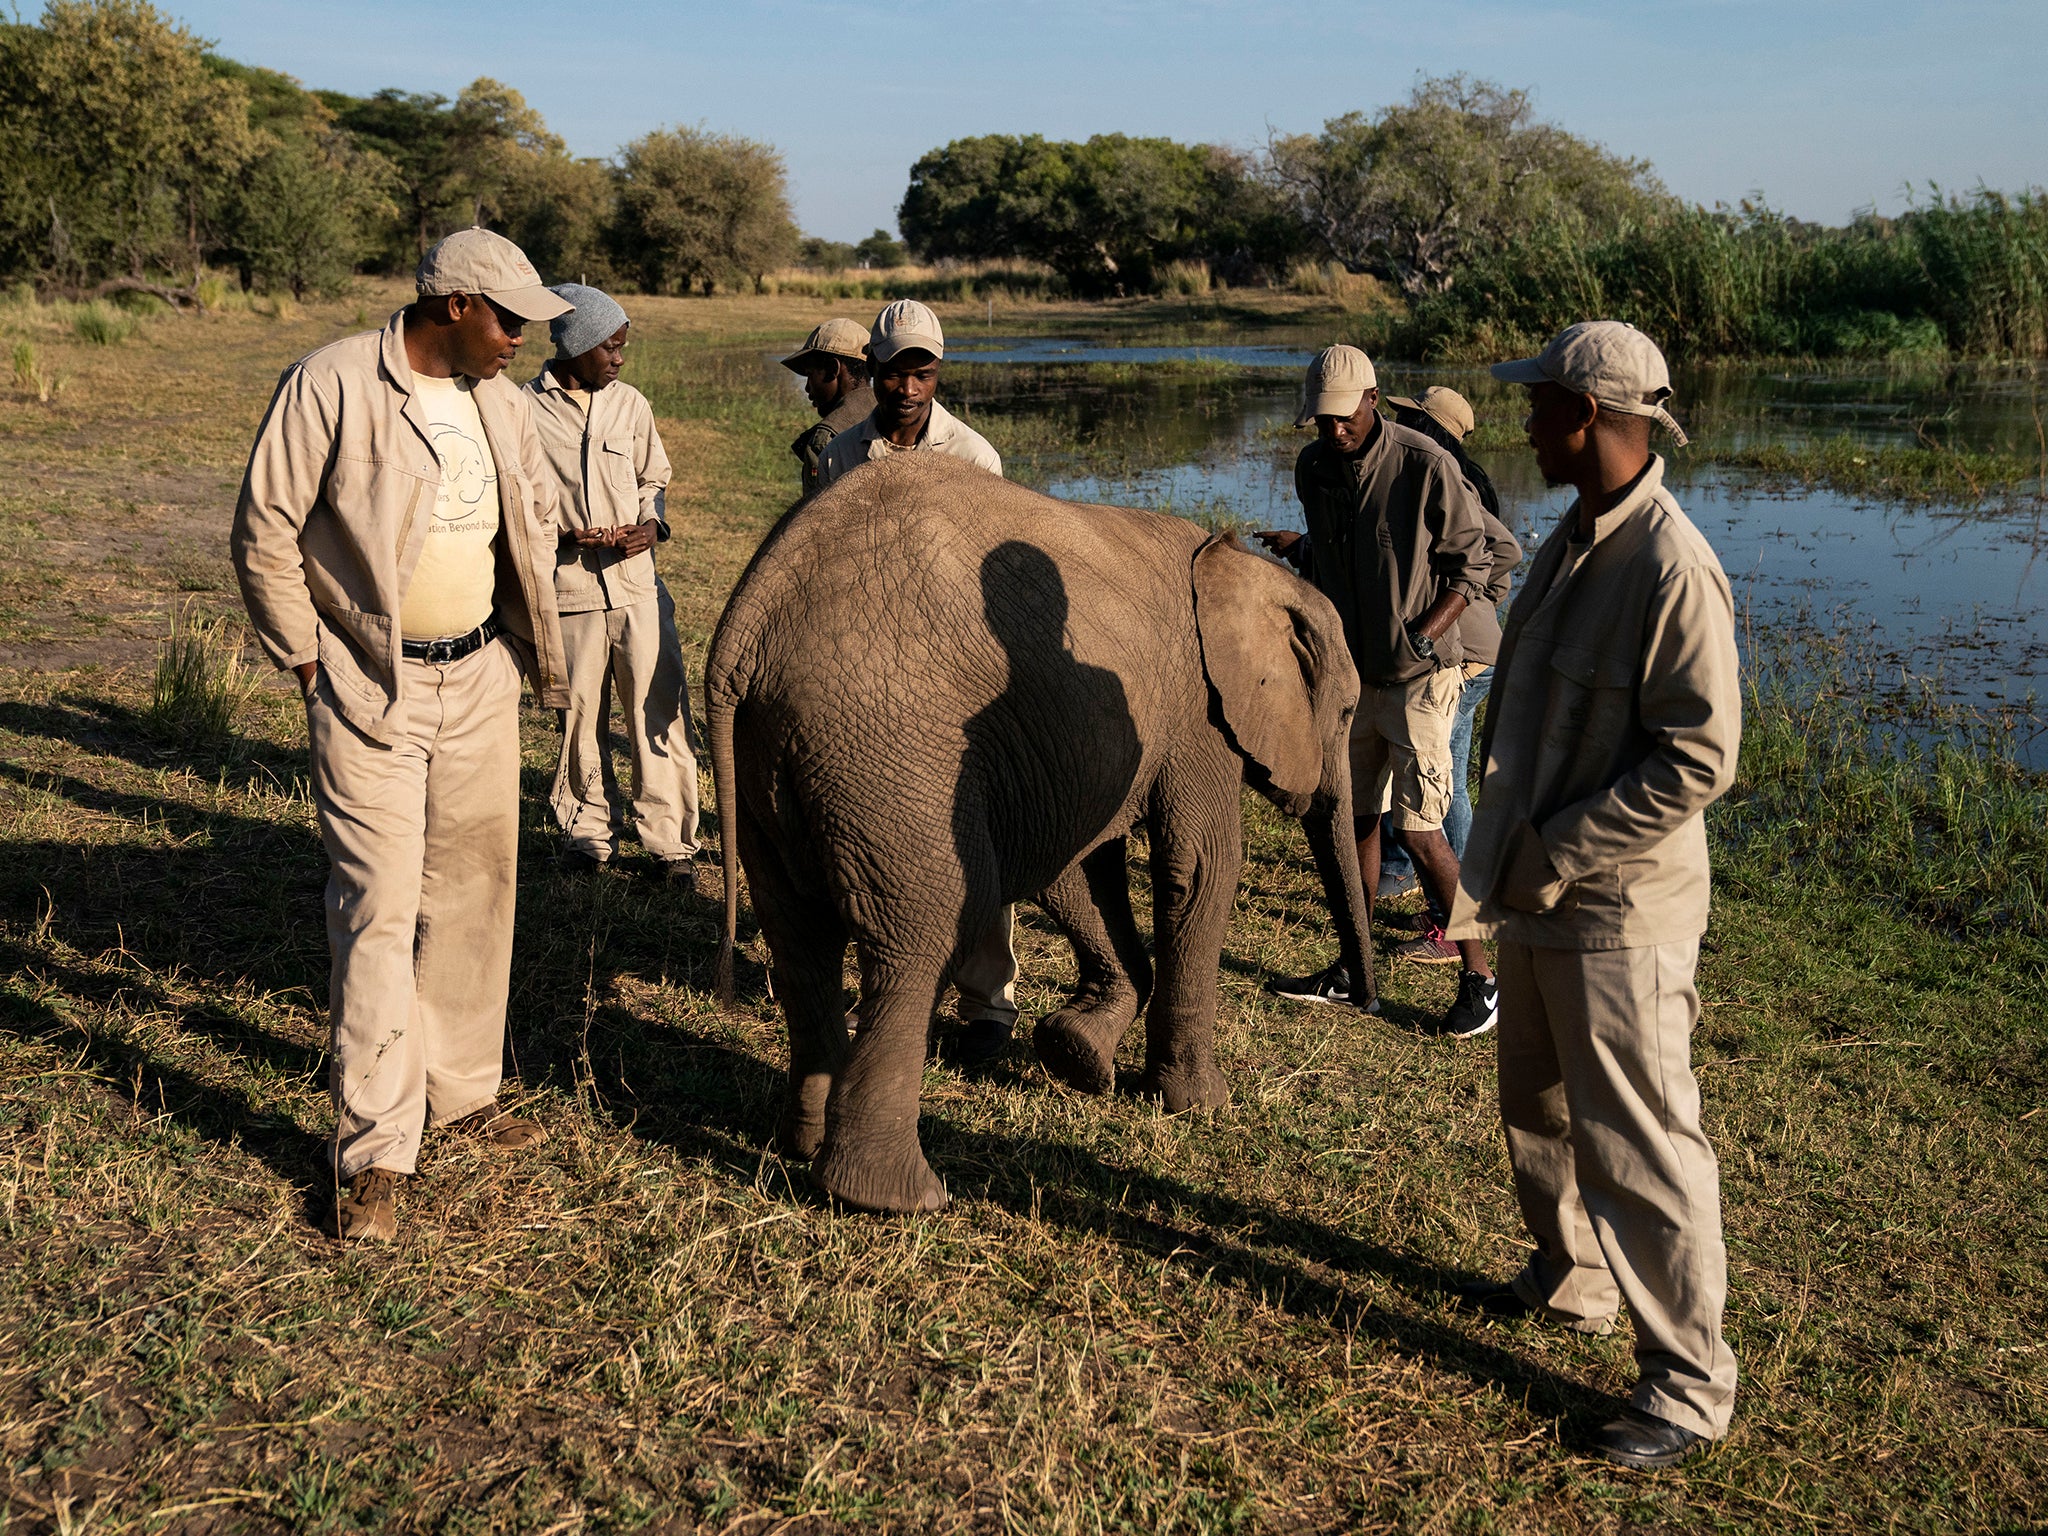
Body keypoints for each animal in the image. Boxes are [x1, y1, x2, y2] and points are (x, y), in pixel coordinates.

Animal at [708, 456, 1376, 1212]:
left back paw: (799, 1144)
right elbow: (1199, 867)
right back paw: (900, 1198)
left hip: (773, 759)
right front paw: (1201, 1105)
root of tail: (748, 623)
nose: (1355, 997)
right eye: (1346, 712)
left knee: (800, 938)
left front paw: (1077, 1058)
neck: (1245, 569)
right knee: (923, 935)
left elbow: (1080, 867)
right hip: (882, 752)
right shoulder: (1198, 715)